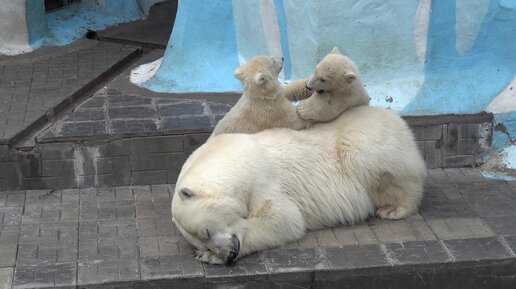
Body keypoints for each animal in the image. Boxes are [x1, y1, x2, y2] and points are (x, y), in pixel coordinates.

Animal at [171, 105, 426, 264]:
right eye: (202, 240)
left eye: (206, 232)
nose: (229, 255)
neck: (230, 157)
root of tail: (395, 118)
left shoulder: (261, 179)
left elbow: (283, 219)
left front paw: (210, 257)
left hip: (366, 138)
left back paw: (393, 208)